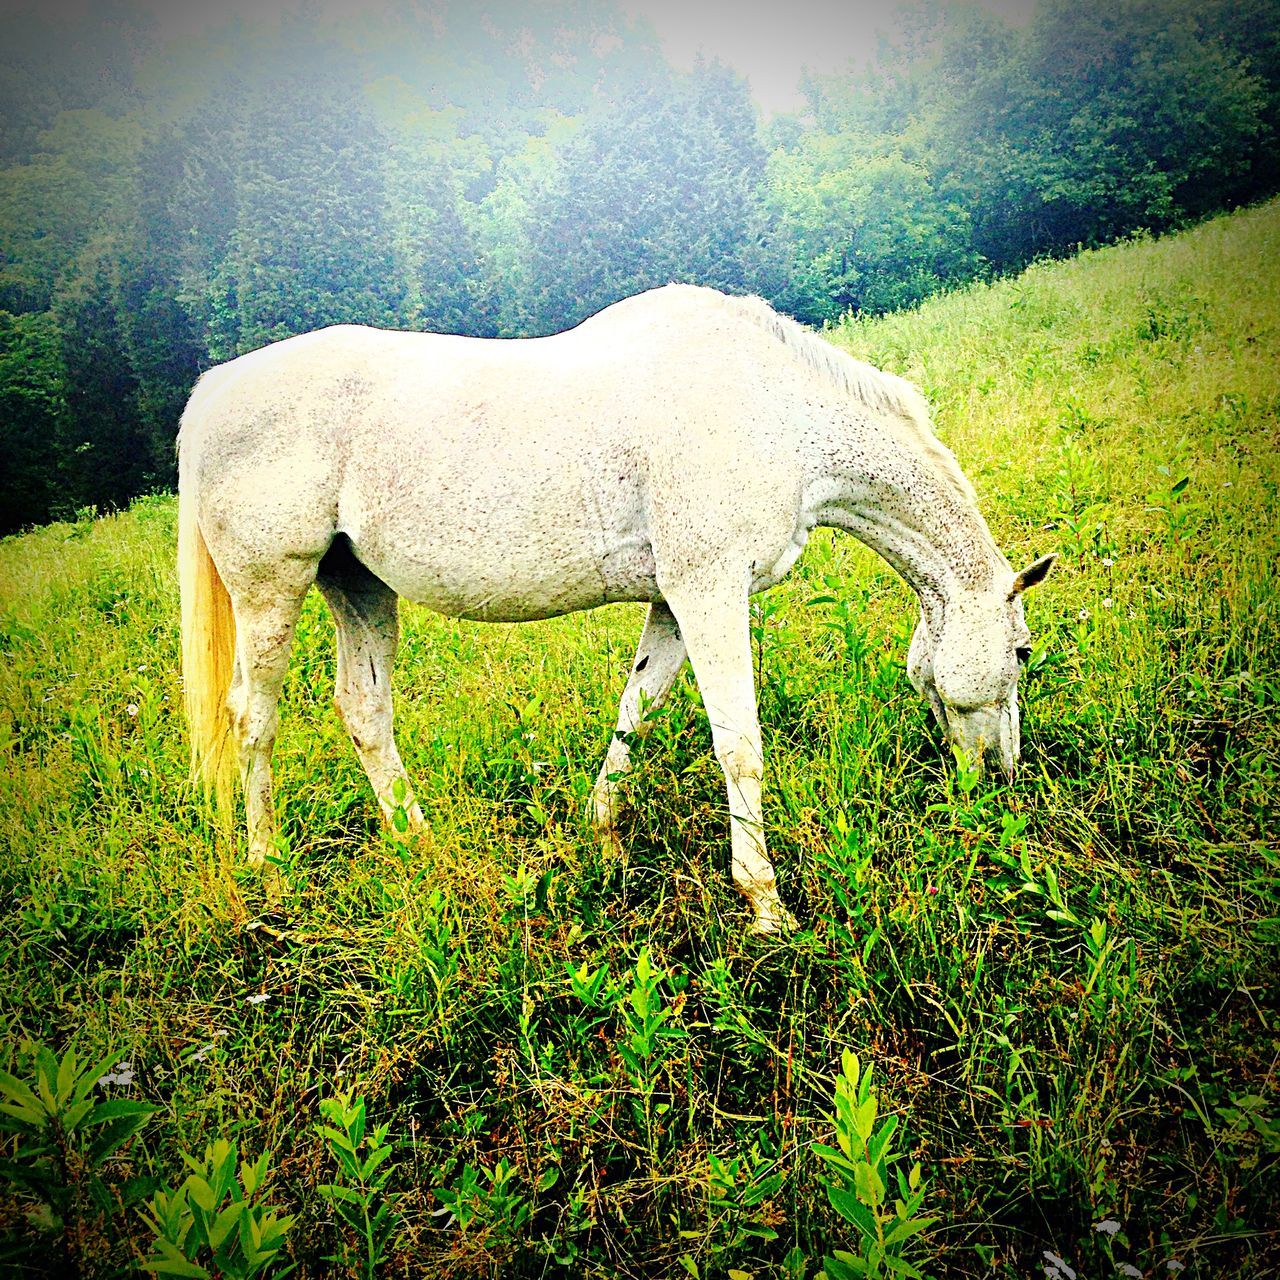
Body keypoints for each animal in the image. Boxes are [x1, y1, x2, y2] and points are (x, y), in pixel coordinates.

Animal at [183, 285, 1059, 936]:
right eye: (1020, 653)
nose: (1003, 777)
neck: (773, 413)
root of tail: (213, 392)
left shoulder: (674, 601)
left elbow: (636, 713)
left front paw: (604, 840)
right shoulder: (710, 591)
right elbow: (739, 746)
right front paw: (766, 905)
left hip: (357, 586)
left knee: (364, 710)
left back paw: (420, 844)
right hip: (272, 587)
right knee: (252, 716)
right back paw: (268, 868)